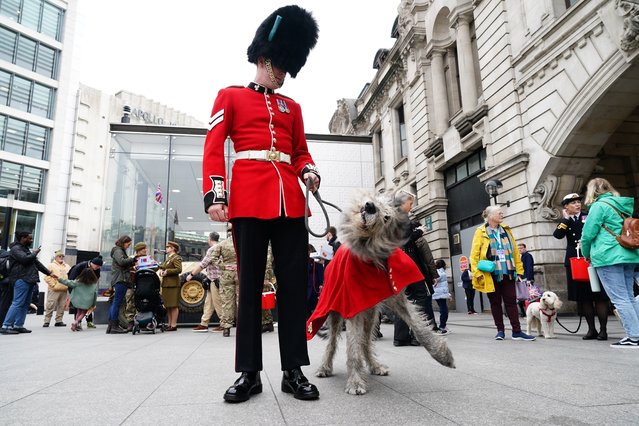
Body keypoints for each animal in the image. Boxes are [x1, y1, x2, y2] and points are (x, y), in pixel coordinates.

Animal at [316, 191, 456, 394]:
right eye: (376, 199)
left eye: (388, 216)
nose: (369, 206)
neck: (371, 254)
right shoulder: (353, 307)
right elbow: (353, 347)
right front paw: (355, 381)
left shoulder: (398, 298)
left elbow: (419, 327)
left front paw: (442, 355)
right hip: (335, 310)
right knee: (334, 340)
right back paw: (325, 367)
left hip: (371, 315)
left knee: (366, 341)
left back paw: (375, 366)